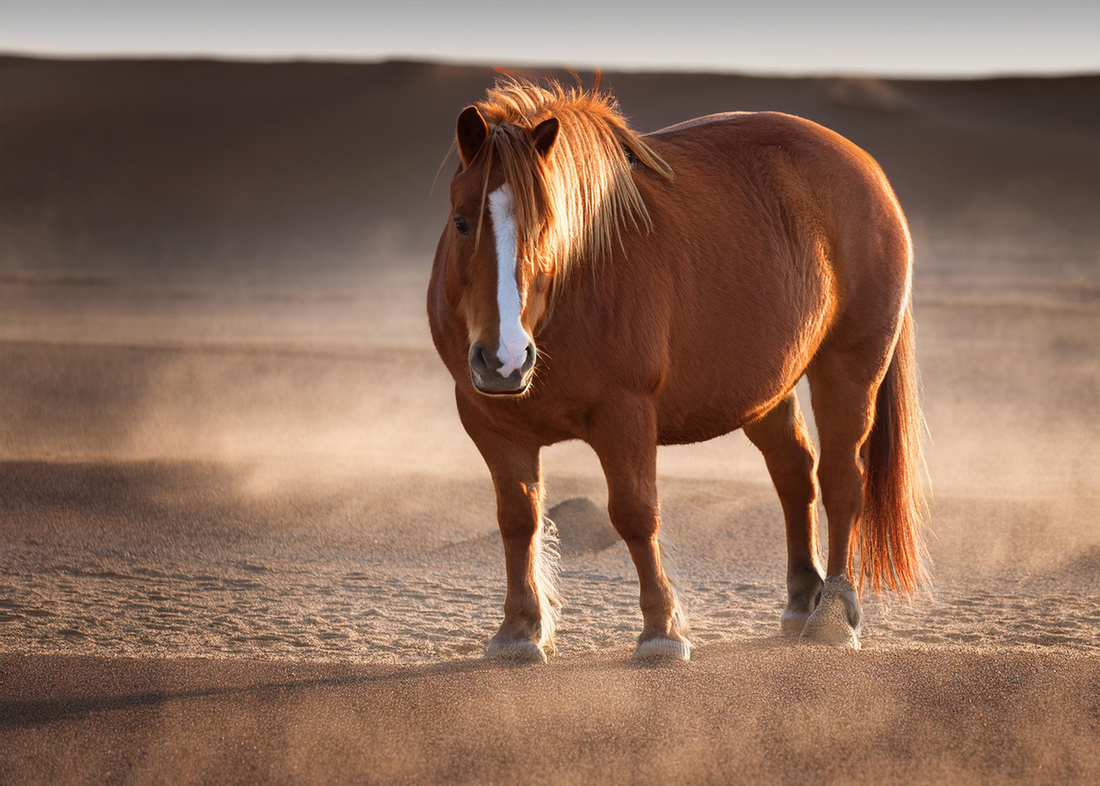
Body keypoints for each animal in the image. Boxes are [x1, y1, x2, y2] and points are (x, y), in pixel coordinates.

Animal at [427, 76, 929, 661]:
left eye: (545, 224)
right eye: (461, 221)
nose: (503, 358)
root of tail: (867, 169)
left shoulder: (626, 415)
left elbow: (635, 513)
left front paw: (662, 631)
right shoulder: (491, 424)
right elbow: (518, 519)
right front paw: (519, 630)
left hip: (849, 370)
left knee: (842, 478)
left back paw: (833, 612)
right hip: (767, 389)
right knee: (795, 473)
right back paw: (802, 599)